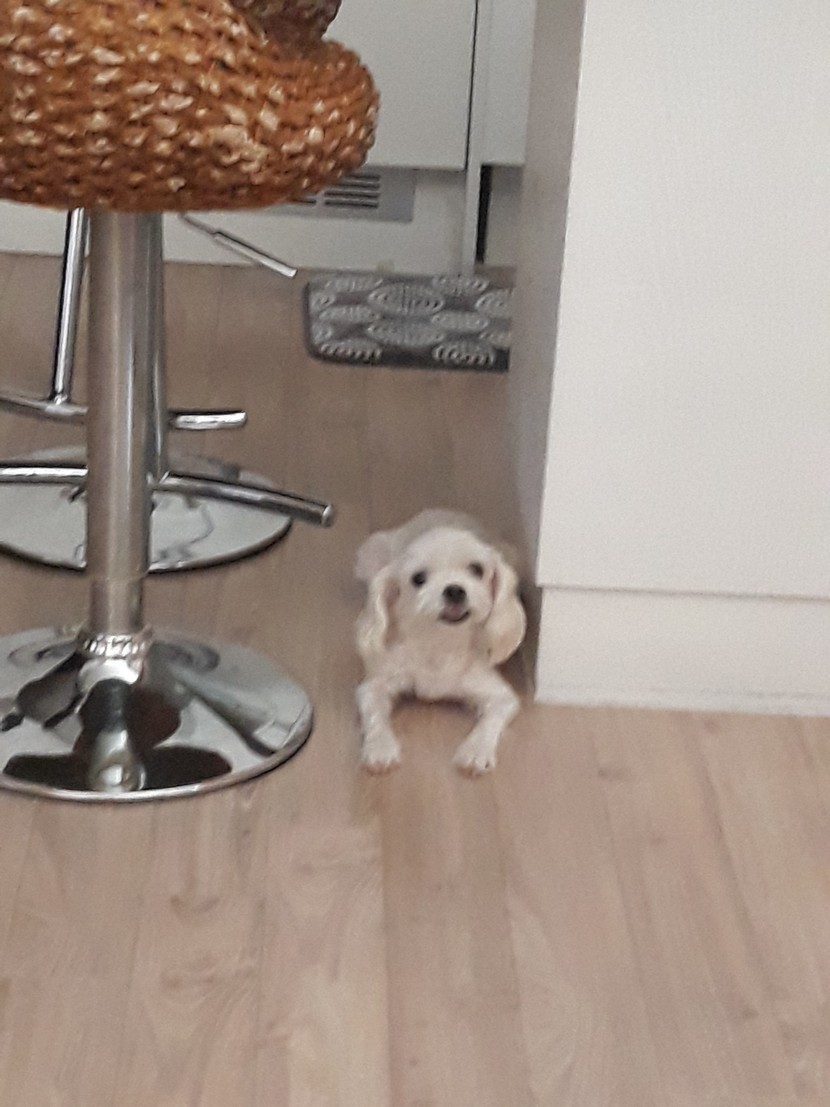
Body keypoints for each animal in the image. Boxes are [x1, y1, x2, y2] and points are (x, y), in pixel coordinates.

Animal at [355, 510, 526, 775]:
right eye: (418, 578)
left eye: (476, 569)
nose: (455, 590)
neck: (441, 640)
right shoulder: (375, 686)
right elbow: (375, 716)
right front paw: (380, 747)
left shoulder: (500, 696)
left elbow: (490, 722)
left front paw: (476, 750)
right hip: (369, 556)